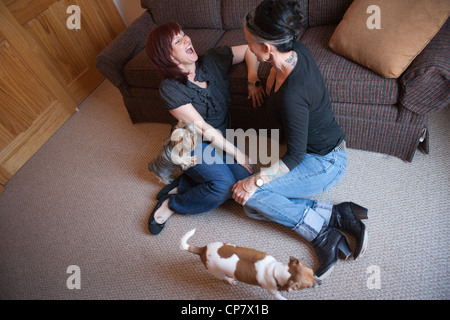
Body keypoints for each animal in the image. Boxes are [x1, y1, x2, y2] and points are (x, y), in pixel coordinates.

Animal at [179, 229, 320, 298]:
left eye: (313, 272)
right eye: (308, 286)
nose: (321, 282)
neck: (275, 269)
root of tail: (203, 250)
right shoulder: (274, 292)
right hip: (217, 273)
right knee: (223, 277)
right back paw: (230, 280)